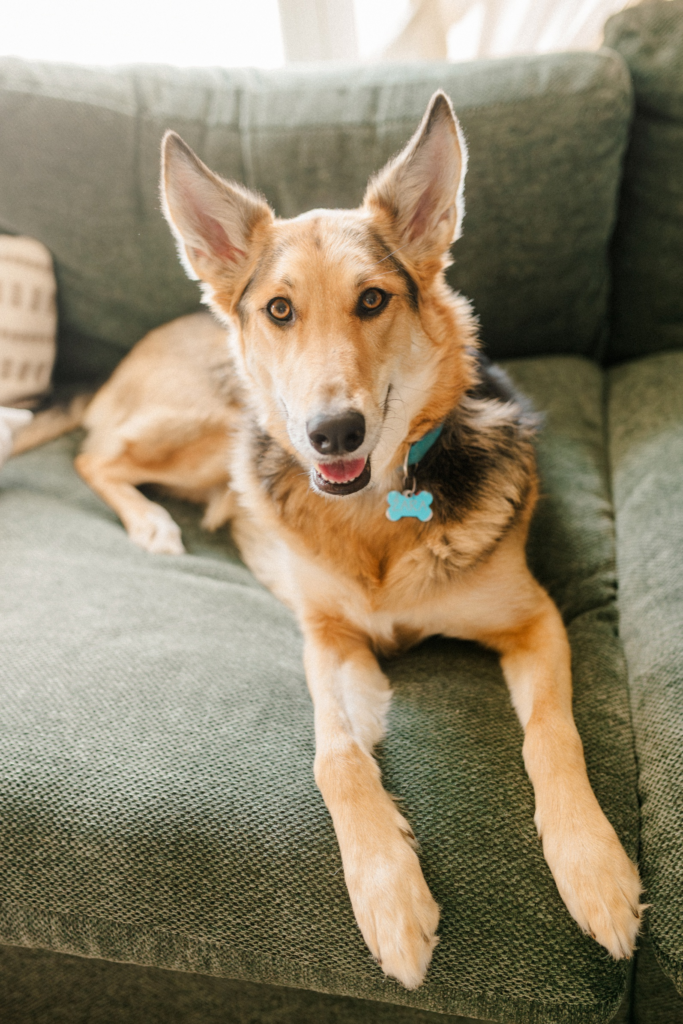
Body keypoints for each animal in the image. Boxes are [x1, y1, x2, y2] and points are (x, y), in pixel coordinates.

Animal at [17, 91, 643, 989]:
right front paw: (386, 886)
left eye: (373, 300)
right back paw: (155, 522)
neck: (375, 508)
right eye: (279, 310)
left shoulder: (535, 621)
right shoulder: (323, 634)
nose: (331, 434)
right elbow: (335, 755)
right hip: (213, 425)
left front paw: (591, 865)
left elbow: (554, 736)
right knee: (94, 453)